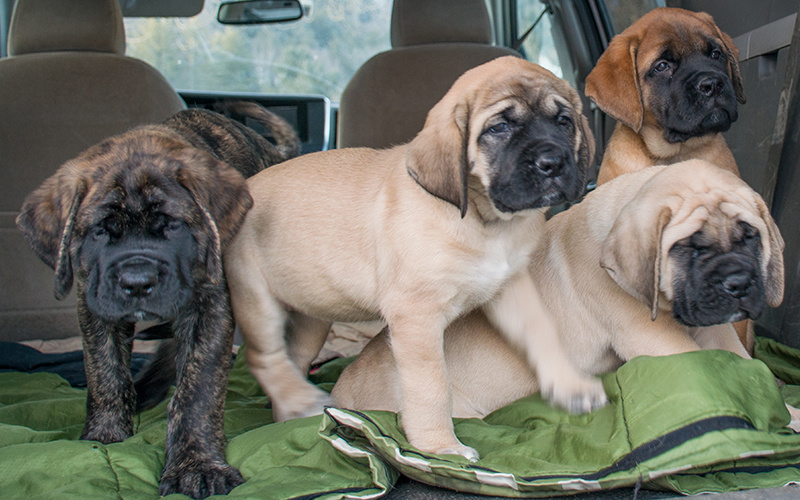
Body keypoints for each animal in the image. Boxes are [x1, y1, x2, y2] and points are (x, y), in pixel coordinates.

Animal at [18, 103, 300, 498]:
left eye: (172, 225)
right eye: (100, 231)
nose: (137, 283)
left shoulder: (211, 306)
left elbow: (197, 388)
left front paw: (196, 463)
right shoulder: (95, 304)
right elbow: (104, 372)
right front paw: (105, 435)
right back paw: (146, 388)